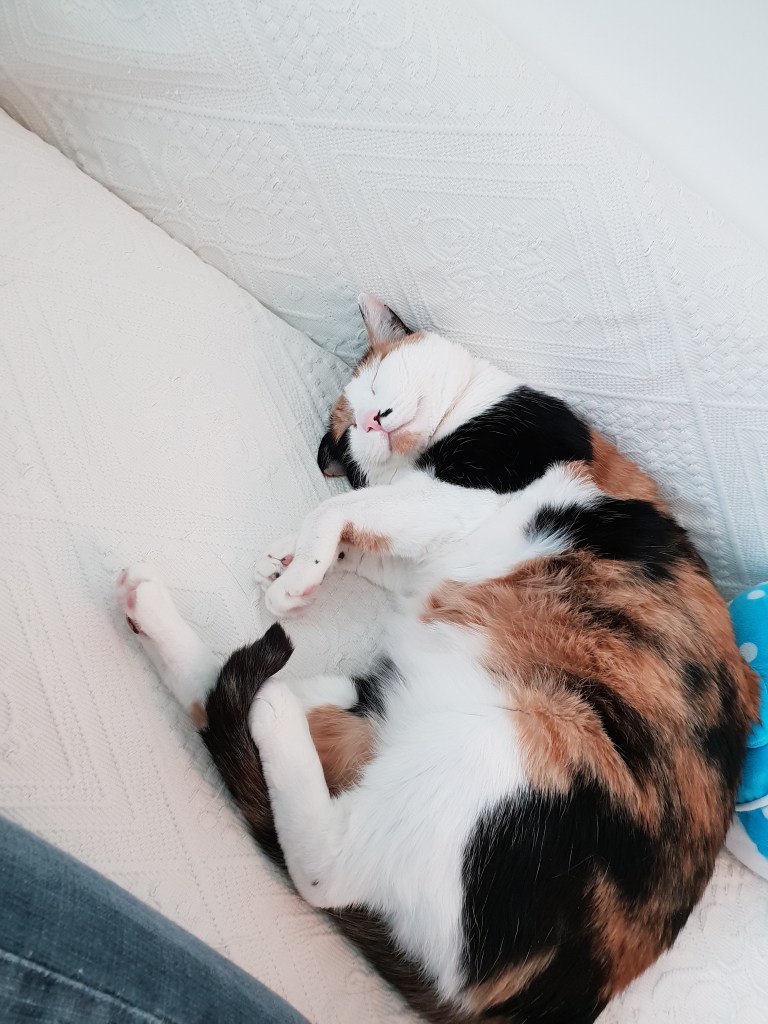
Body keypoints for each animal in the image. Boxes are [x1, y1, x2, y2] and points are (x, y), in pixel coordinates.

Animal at [118, 293, 759, 1024]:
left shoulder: (472, 485)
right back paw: (159, 613)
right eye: (350, 430)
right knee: (233, 714)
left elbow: (340, 511)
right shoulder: (424, 537)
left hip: (508, 742)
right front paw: (290, 562)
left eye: (375, 381)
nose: (373, 418)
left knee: (324, 868)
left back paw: (271, 705)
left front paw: (295, 571)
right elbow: (358, 526)